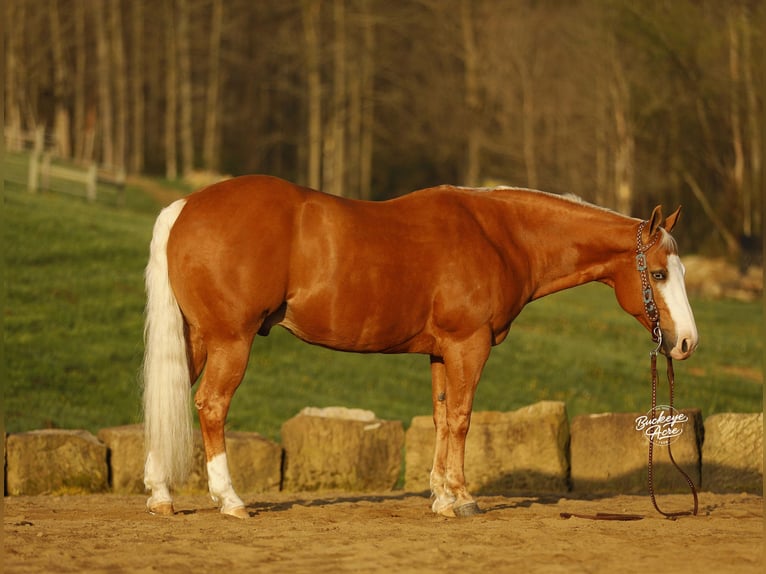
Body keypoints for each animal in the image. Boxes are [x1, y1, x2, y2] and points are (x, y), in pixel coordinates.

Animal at [142, 175, 698, 519]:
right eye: (658, 273)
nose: (686, 342)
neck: (499, 235)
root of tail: (185, 207)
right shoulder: (469, 345)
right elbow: (463, 419)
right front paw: (462, 499)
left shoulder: (440, 351)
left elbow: (441, 417)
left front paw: (440, 497)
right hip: (229, 341)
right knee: (211, 405)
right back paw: (230, 499)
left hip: (196, 338)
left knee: (168, 402)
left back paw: (161, 494)